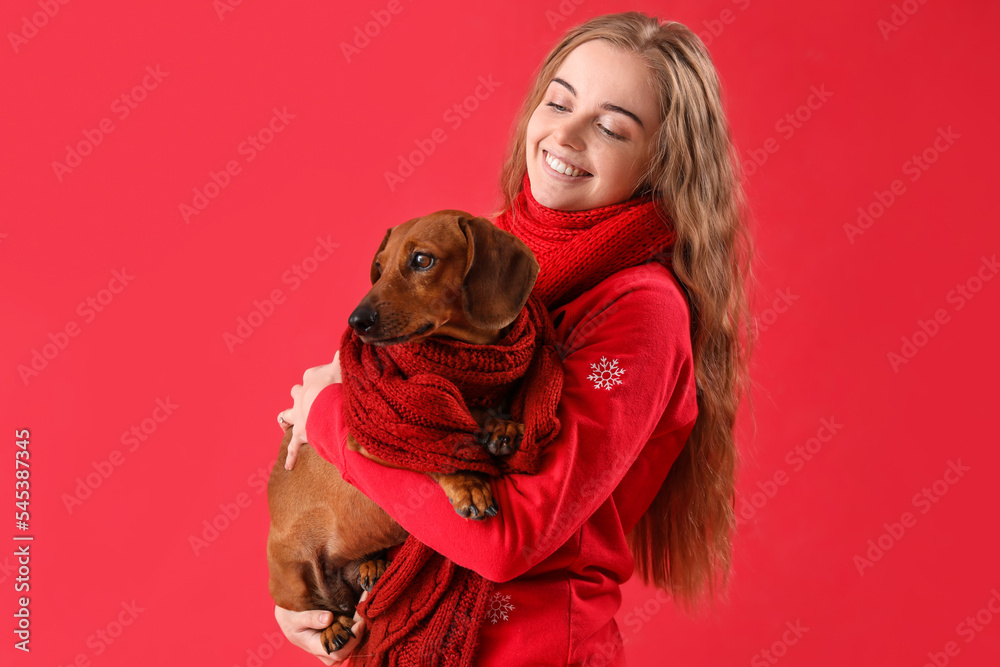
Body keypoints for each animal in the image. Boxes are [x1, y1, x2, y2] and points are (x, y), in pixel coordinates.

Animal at [266, 211, 540, 656]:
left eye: (422, 260)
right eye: (378, 267)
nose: (355, 321)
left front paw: (497, 424)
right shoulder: (374, 437)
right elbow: (429, 449)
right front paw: (469, 483)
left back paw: (373, 564)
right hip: (290, 573)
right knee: (318, 606)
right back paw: (332, 623)